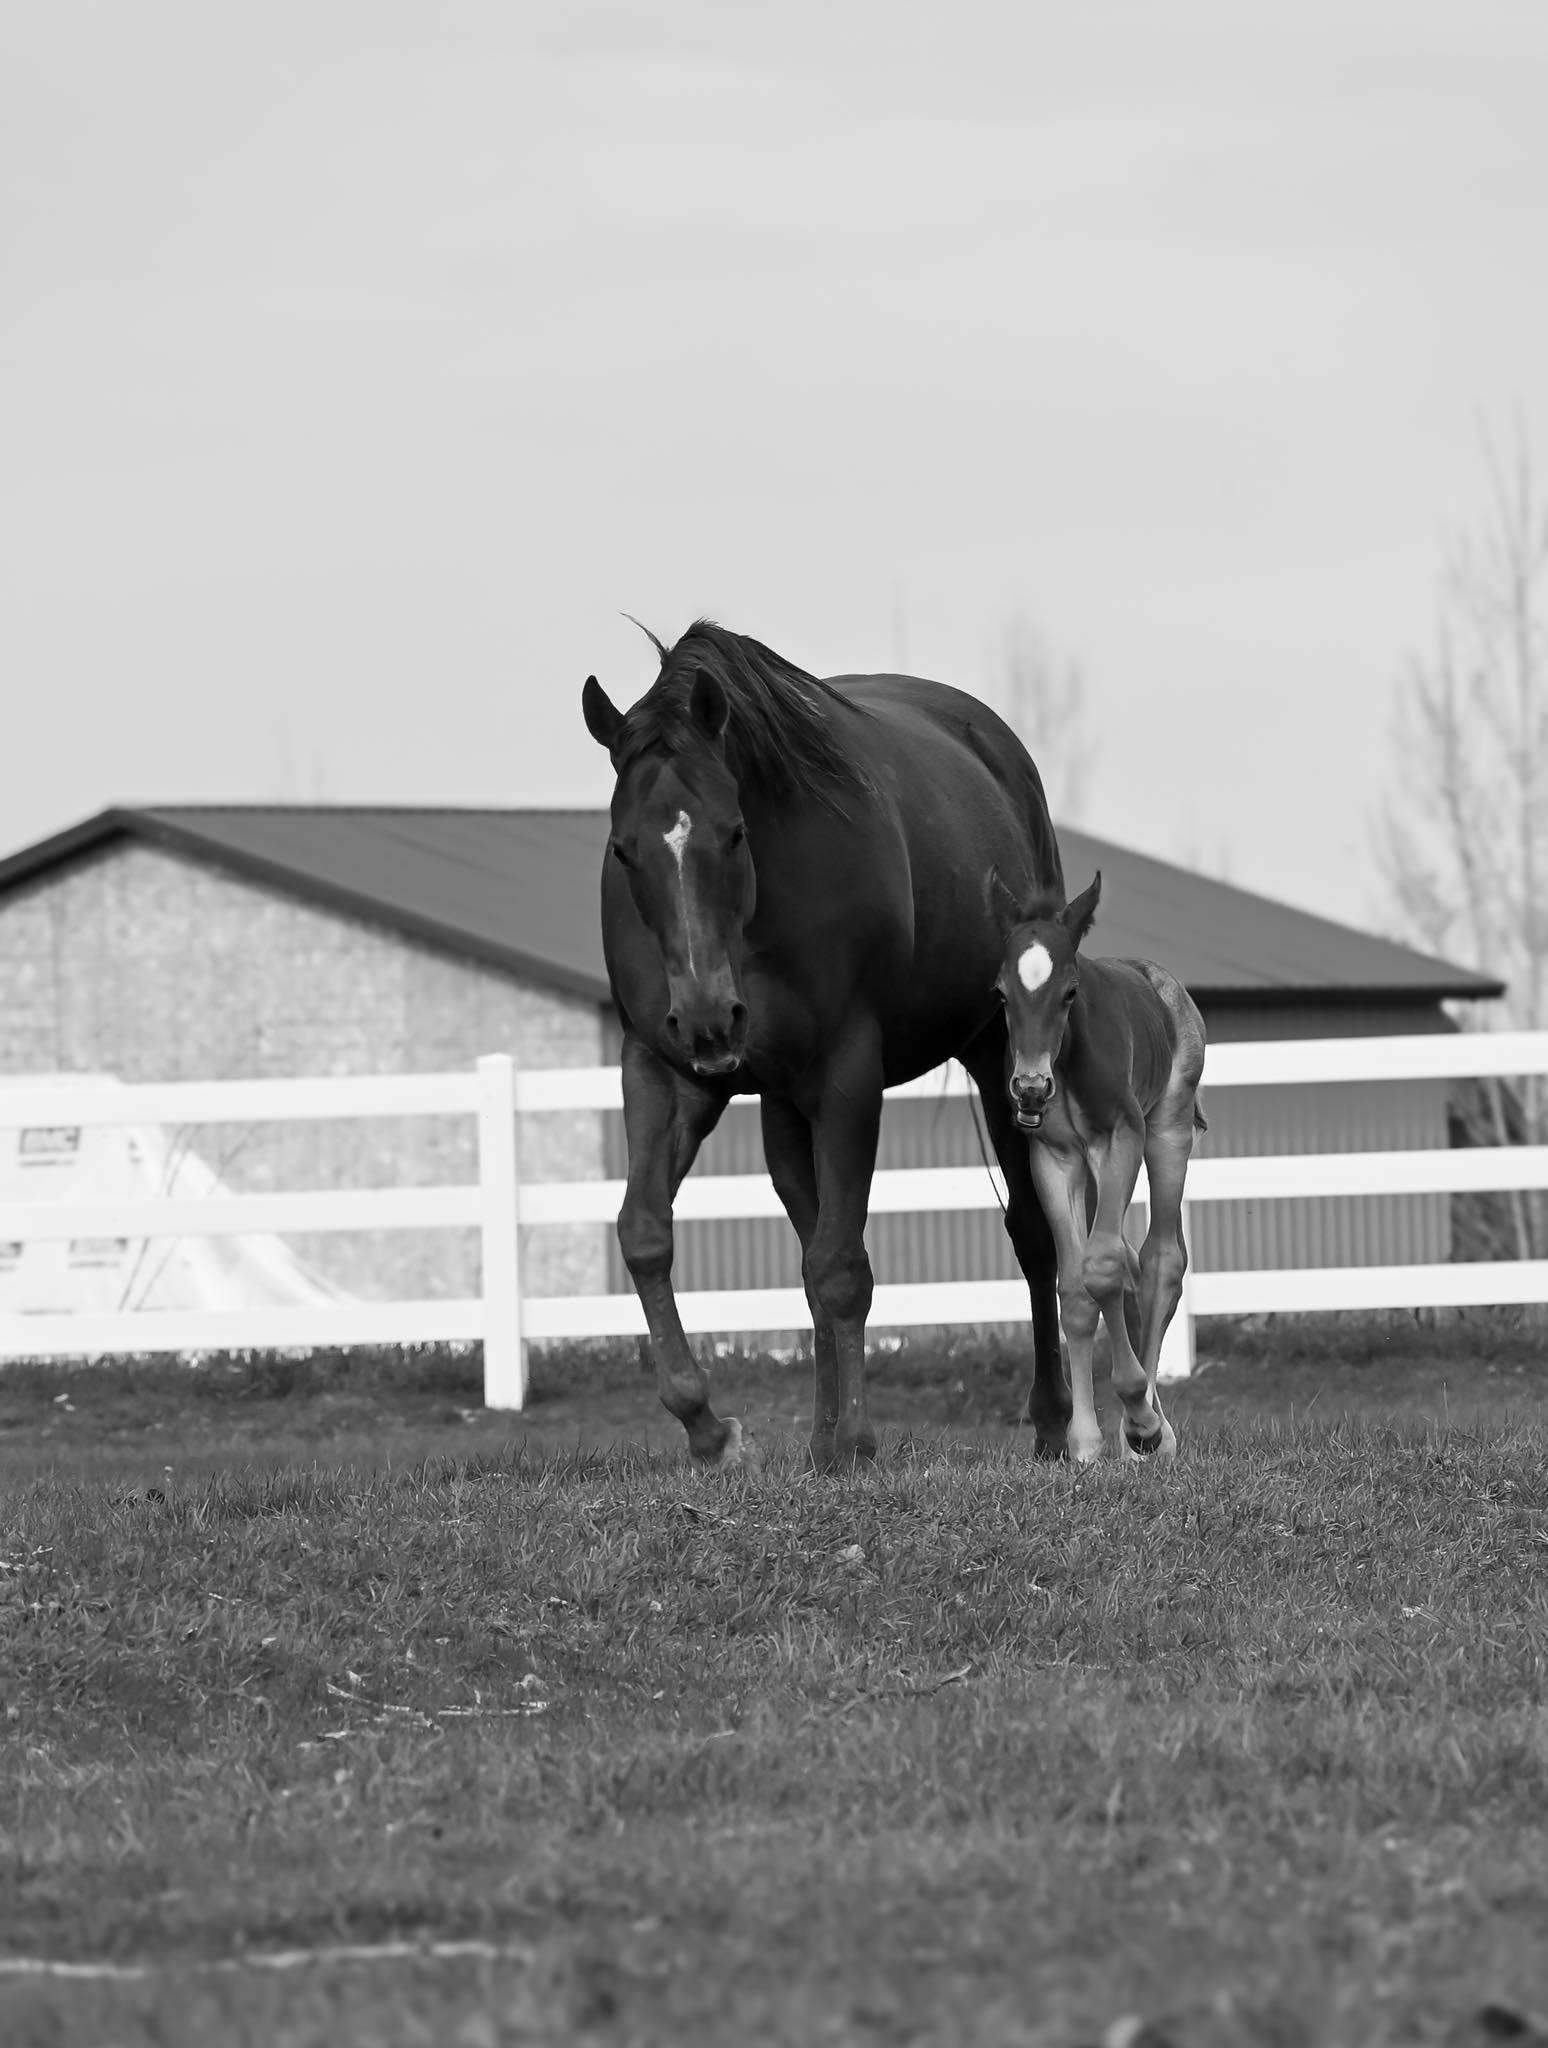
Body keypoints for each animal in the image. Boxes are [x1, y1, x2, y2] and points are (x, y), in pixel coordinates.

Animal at [581, 618, 1071, 1470]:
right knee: (809, 1242)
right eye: (623, 850)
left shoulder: (847, 1076)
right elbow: (646, 1233)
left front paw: (858, 1441)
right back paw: (813, 1441)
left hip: (1000, 1060)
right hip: (781, 1102)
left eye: (734, 832)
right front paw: (708, 1428)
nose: (709, 1019)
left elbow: (841, 1267)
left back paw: (1050, 1422)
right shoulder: (662, 1069)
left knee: (1031, 1234)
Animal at [994, 871, 1207, 1464]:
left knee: (1160, 1260)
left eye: (1070, 991)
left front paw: (1139, 1419)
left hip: (1168, 1131)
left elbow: (1106, 1267)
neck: (1066, 1060)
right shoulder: (1054, 1157)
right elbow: (1074, 1287)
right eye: (1001, 993)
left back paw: (1151, 1430)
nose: (1030, 1087)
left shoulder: (1120, 1140)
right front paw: (1084, 1442)